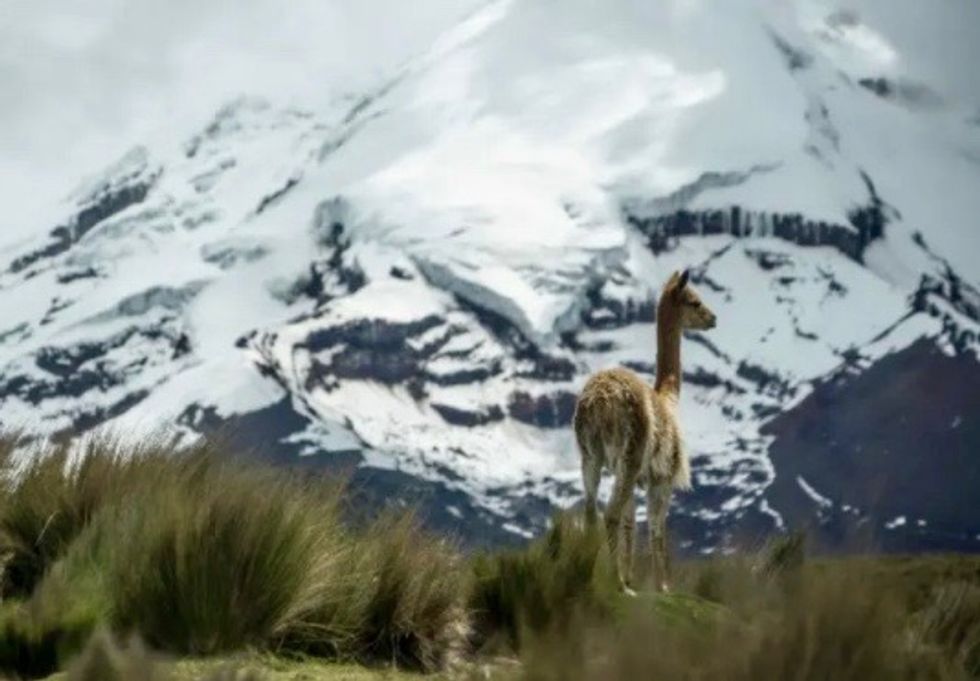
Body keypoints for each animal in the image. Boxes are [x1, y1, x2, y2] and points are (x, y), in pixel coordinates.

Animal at [573, 269, 716, 593]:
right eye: (694, 301)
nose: (713, 318)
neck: (668, 398)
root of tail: (598, 400)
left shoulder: (636, 474)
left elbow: (632, 524)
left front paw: (631, 577)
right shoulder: (662, 477)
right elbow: (656, 529)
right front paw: (661, 586)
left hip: (592, 457)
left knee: (590, 511)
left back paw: (589, 573)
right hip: (630, 452)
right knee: (610, 513)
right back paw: (616, 583)